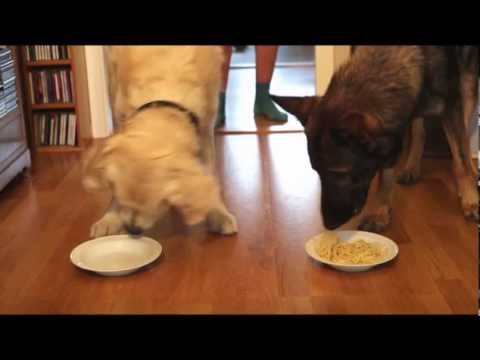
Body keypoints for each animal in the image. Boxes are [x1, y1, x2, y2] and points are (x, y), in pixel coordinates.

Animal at [84, 45, 240, 236]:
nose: (133, 230)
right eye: (123, 196)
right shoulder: (120, 111)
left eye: (161, 202)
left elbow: (211, 173)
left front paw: (217, 213)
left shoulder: (206, 126)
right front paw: (111, 217)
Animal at [272, 45, 478, 231]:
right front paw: (379, 211)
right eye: (316, 171)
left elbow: (461, 159)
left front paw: (470, 197)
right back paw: (412, 167)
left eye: (339, 173)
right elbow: (385, 176)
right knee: (419, 130)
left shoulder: (452, 107)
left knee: (466, 138)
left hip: (468, 79)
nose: (329, 225)